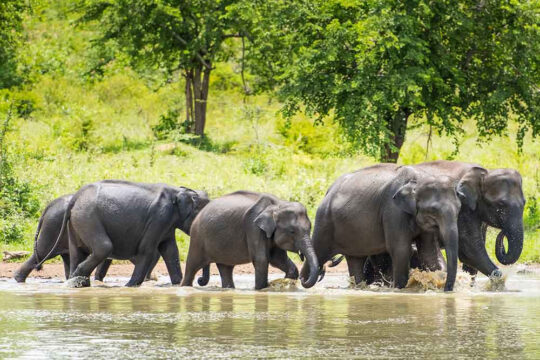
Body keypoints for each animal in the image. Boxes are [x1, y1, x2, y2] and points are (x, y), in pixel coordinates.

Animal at [59, 181, 209, 288]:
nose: (200, 280)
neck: (179, 191)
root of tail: (76, 197)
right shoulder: (159, 217)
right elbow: (147, 250)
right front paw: (129, 287)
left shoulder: (167, 225)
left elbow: (170, 251)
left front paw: (177, 284)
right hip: (87, 218)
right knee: (104, 248)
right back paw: (75, 279)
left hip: (77, 222)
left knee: (77, 252)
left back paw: (77, 283)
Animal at [180, 191, 320, 290]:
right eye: (292, 231)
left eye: (310, 228)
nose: (303, 279)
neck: (278, 205)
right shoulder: (253, 227)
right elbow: (262, 260)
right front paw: (260, 289)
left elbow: (277, 259)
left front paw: (288, 279)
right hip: (197, 237)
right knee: (192, 266)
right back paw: (185, 287)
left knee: (226, 268)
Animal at [300, 165, 464, 292]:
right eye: (434, 211)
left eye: (459, 209)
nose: (447, 289)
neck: (420, 178)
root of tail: (329, 191)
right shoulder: (393, 211)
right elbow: (401, 250)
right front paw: (399, 289)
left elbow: (429, 253)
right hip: (324, 222)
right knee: (319, 252)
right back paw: (304, 280)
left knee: (355, 260)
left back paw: (358, 287)